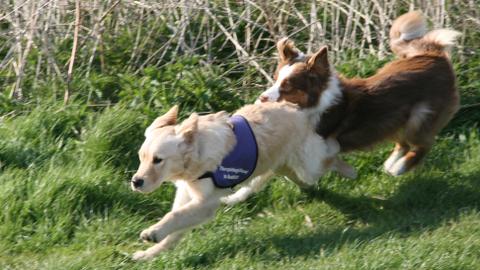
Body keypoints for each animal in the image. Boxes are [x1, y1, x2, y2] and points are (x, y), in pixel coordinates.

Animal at [130, 102, 352, 260]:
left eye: (158, 160)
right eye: (141, 157)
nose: (136, 182)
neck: (196, 152)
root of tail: (299, 110)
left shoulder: (205, 204)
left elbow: (174, 216)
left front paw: (152, 232)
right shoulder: (188, 194)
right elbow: (176, 226)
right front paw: (150, 253)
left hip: (308, 167)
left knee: (331, 155)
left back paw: (349, 169)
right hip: (282, 166)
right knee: (268, 177)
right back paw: (235, 197)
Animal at [256, 10, 460, 176]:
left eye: (288, 86)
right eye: (275, 79)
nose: (262, 98)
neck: (318, 104)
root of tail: (434, 55)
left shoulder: (323, 146)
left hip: (419, 117)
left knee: (424, 144)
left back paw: (399, 168)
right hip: (393, 120)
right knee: (403, 143)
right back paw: (390, 164)